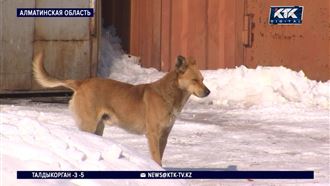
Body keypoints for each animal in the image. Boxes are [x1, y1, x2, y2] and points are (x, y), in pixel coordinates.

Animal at [32, 53, 209, 165]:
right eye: (194, 80)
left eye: (203, 79)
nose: (208, 92)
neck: (169, 94)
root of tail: (81, 82)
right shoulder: (153, 135)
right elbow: (156, 159)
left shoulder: (164, 136)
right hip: (89, 125)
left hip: (98, 127)